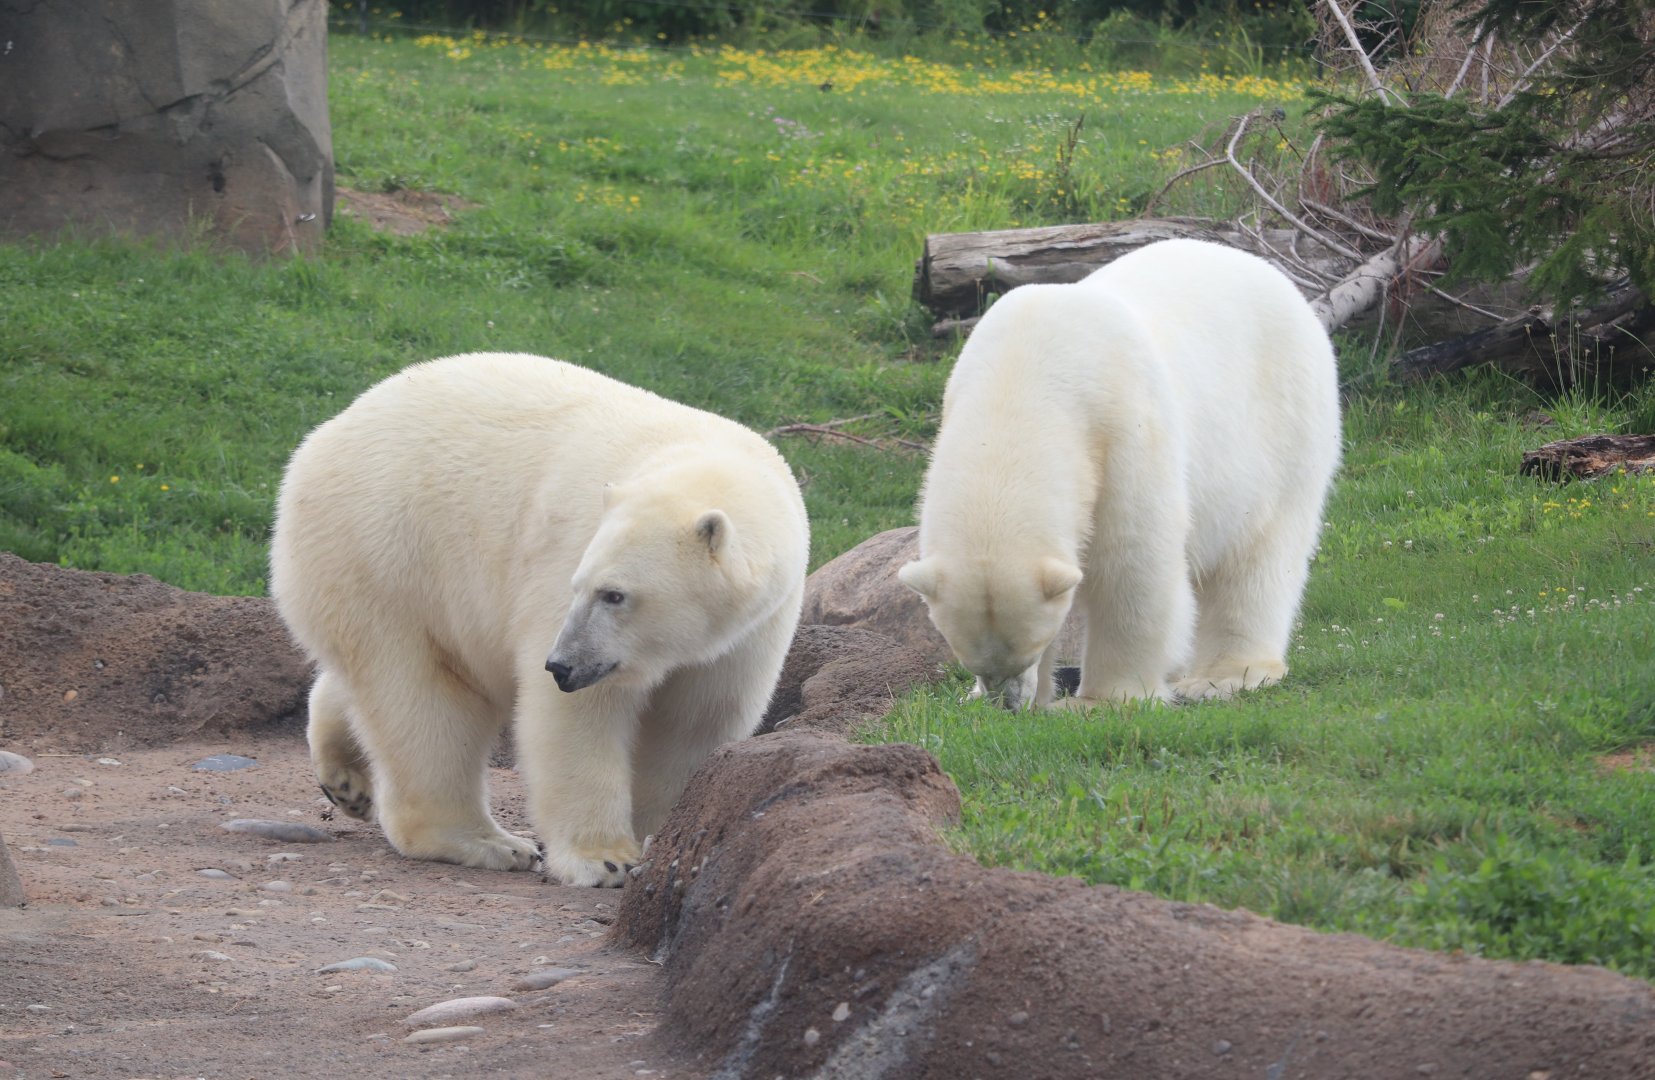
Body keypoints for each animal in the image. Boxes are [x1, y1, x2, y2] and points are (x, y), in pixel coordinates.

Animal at [269, 352, 809, 886]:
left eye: (615, 595)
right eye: (581, 586)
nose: (562, 666)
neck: (706, 461)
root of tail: (320, 439)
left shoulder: (754, 627)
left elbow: (697, 721)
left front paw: (660, 835)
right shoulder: (566, 559)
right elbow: (577, 719)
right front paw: (606, 859)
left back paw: (346, 779)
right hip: (389, 556)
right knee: (423, 699)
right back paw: (488, 843)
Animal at [898, 238, 1341, 709]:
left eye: (1032, 649)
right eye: (970, 660)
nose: (1009, 704)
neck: (1019, 378)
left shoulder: (1120, 420)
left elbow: (1132, 557)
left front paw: (1102, 701)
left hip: (1284, 423)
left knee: (1259, 552)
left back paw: (1223, 677)